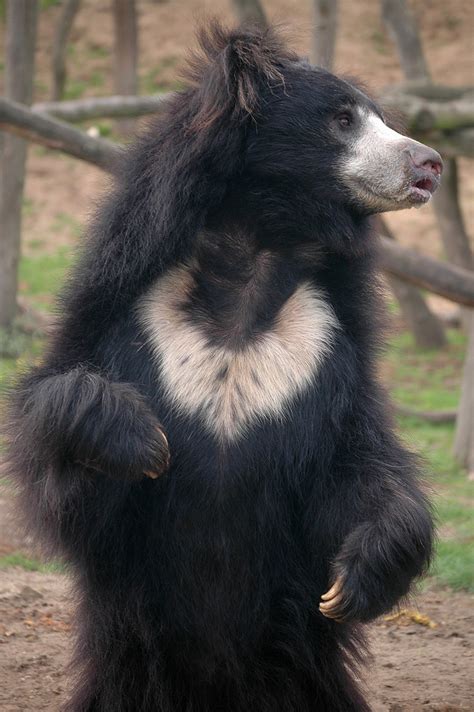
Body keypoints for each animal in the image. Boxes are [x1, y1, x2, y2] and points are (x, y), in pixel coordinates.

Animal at [6, 22, 440, 712]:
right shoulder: (126, 312)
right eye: (343, 119)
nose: (430, 164)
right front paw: (141, 441)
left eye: (383, 118)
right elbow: (63, 460)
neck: (252, 256)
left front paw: (356, 578)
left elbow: (359, 464)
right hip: (132, 664)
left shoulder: (328, 350)